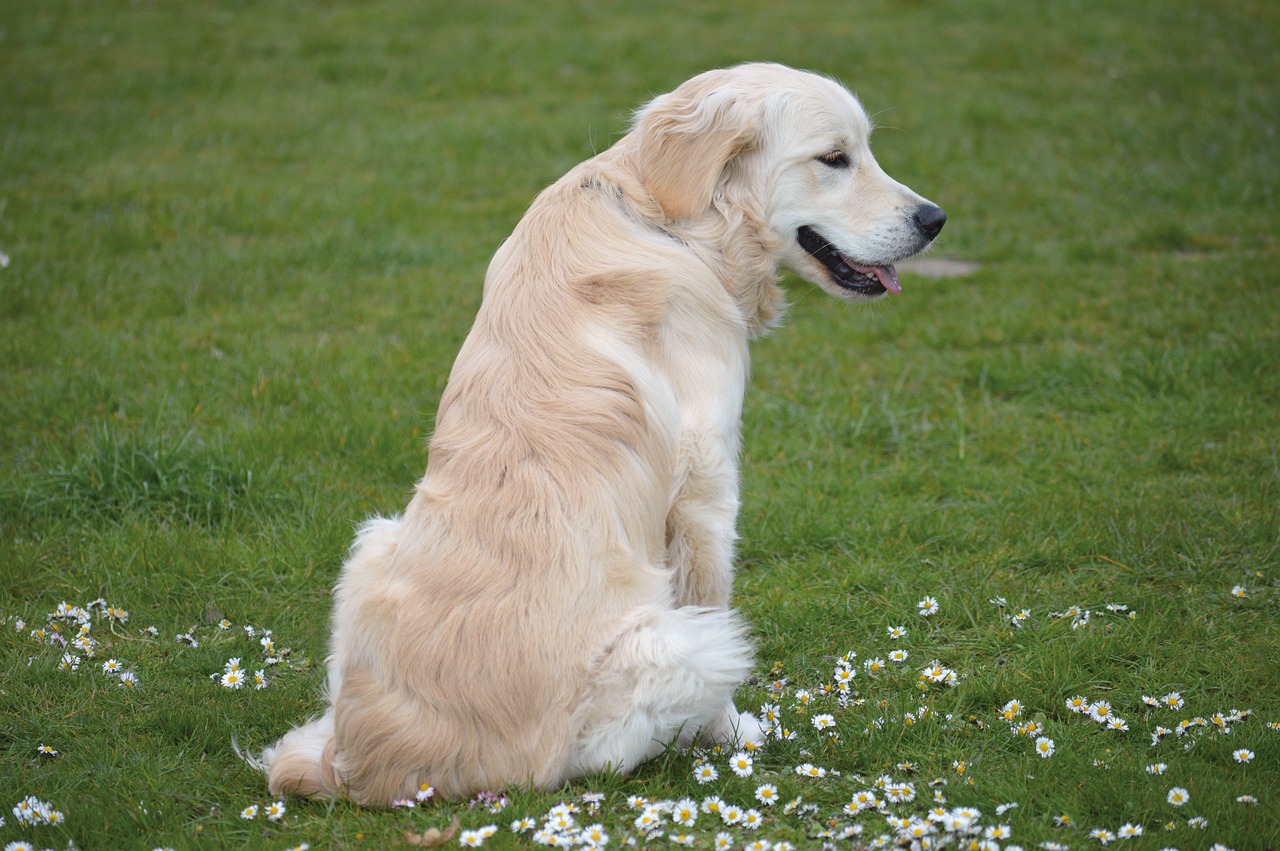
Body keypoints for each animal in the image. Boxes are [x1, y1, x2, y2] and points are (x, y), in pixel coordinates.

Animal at [259, 61, 947, 803]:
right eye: (834, 159)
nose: (935, 219)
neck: (673, 223)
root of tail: (365, 769)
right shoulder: (706, 490)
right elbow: (712, 600)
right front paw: (732, 734)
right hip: (675, 648)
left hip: (372, 542)